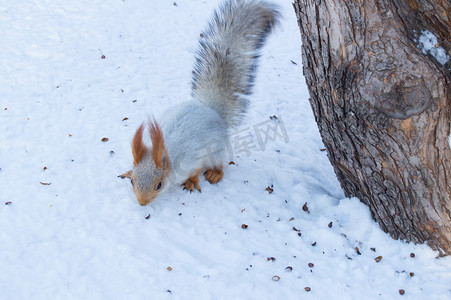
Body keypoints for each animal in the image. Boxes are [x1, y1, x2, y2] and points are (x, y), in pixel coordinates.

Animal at [120, 0, 278, 205]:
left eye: (159, 185)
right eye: (133, 181)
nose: (142, 203)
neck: (167, 156)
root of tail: (211, 110)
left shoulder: (193, 158)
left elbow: (194, 171)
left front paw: (192, 182)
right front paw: (127, 170)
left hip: (217, 149)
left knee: (219, 163)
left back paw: (215, 173)